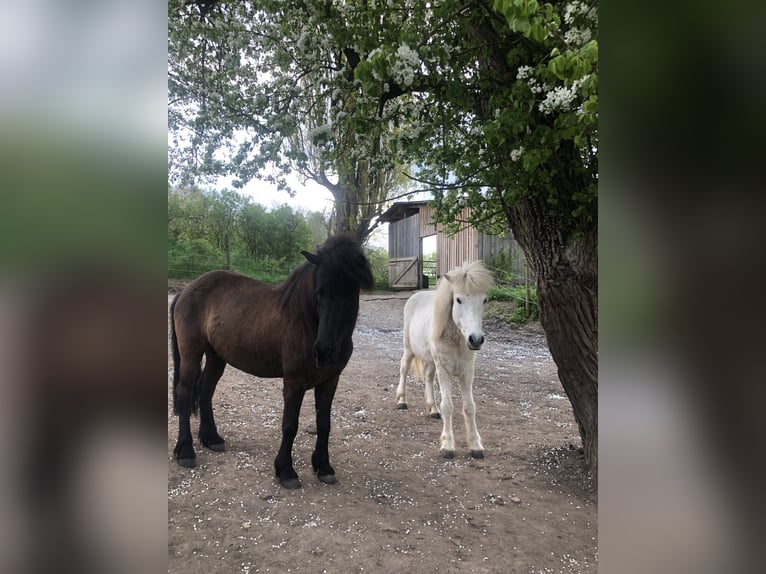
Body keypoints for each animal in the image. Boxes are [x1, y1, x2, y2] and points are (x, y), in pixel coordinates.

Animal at [170, 234, 374, 490]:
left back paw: (212, 439)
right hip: (191, 354)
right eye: (319, 293)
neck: (307, 322)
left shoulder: (329, 382)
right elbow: (290, 425)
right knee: (185, 394)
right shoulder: (294, 383)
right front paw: (286, 471)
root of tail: (185, 290)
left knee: (205, 390)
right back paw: (186, 451)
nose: (323, 352)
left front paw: (323, 467)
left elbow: (324, 424)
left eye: (352, 293)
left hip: (217, 356)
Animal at [396, 260, 498, 460]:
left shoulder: (467, 372)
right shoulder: (444, 370)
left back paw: (433, 409)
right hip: (409, 349)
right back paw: (402, 401)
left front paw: (476, 446)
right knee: (404, 369)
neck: (456, 339)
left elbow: (469, 407)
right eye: (458, 299)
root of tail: (415, 296)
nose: (475, 339)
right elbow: (448, 406)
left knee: (428, 378)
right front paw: (448, 446)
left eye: (484, 300)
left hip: (430, 360)